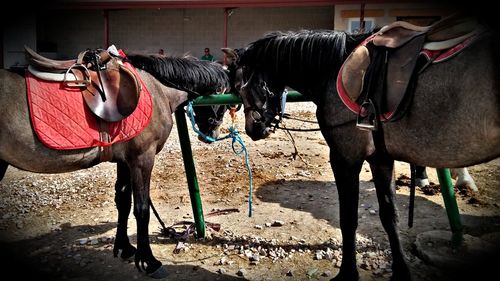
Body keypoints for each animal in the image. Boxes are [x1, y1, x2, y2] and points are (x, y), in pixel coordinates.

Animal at [0, 52, 229, 276]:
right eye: (224, 103)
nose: (211, 134)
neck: (157, 89)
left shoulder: (125, 160)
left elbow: (123, 202)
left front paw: (124, 247)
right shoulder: (142, 158)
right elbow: (142, 209)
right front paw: (148, 261)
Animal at [224, 14, 500, 280]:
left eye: (239, 87)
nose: (253, 129)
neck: (333, 66)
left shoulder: (345, 158)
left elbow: (349, 219)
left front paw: (348, 273)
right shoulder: (381, 158)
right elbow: (390, 216)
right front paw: (400, 271)